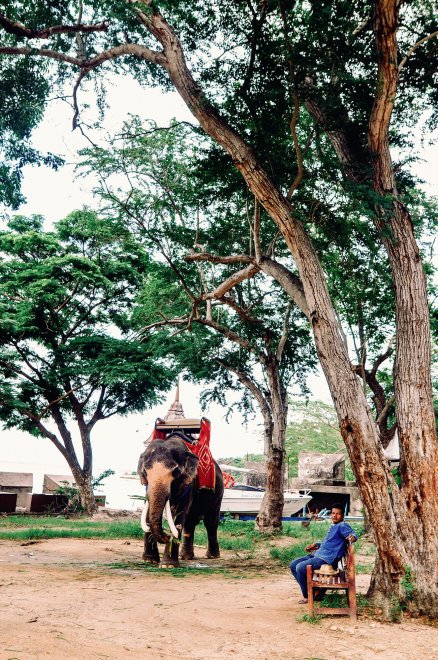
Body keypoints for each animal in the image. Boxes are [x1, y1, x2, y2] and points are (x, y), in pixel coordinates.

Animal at [137, 434, 224, 568]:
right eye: (145, 472)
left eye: (175, 472)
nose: (166, 534)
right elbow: (147, 510)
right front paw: (149, 560)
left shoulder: (189, 483)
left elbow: (178, 515)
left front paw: (168, 565)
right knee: (189, 522)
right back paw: (186, 557)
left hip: (218, 494)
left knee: (210, 522)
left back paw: (211, 556)